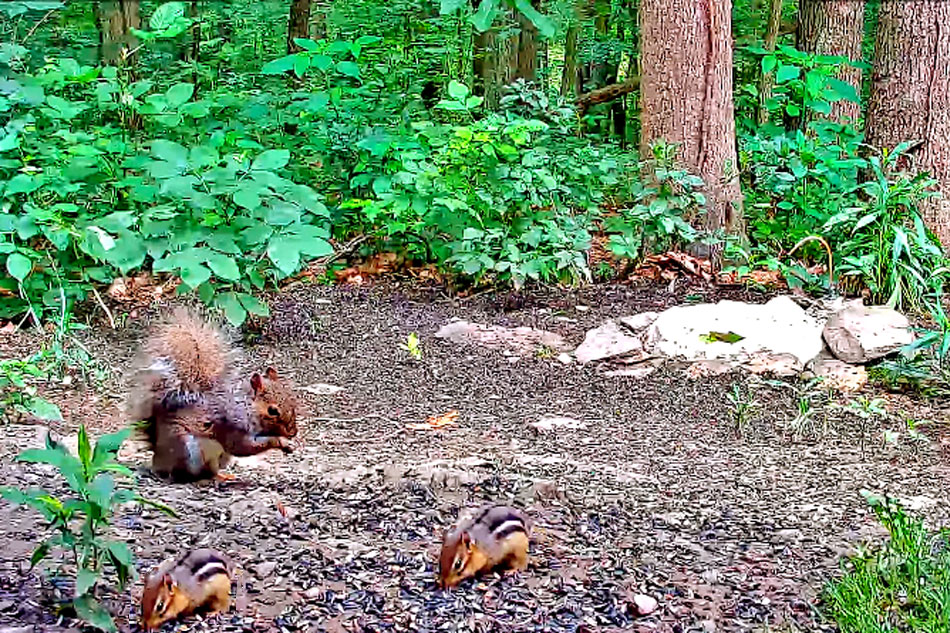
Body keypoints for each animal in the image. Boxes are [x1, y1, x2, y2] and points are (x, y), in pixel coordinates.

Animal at [129, 308, 299, 481]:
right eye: (272, 411)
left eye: (292, 400)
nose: (293, 432)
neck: (247, 406)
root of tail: (158, 459)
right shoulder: (233, 427)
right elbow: (243, 446)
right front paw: (281, 441)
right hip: (190, 452)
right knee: (190, 474)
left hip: (219, 457)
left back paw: (225, 476)